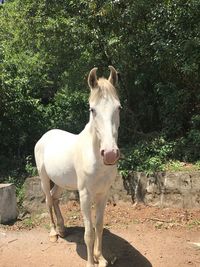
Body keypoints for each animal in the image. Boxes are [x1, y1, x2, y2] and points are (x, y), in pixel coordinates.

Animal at [34, 66, 120, 267]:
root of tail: (45, 136)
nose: (110, 154)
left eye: (119, 107)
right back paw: (53, 233)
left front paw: (101, 258)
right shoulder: (85, 196)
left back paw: (62, 229)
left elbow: (99, 226)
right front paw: (91, 262)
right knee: (48, 200)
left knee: (55, 198)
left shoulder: (103, 193)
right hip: (44, 178)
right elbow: (89, 233)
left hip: (60, 182)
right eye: (92, 109)